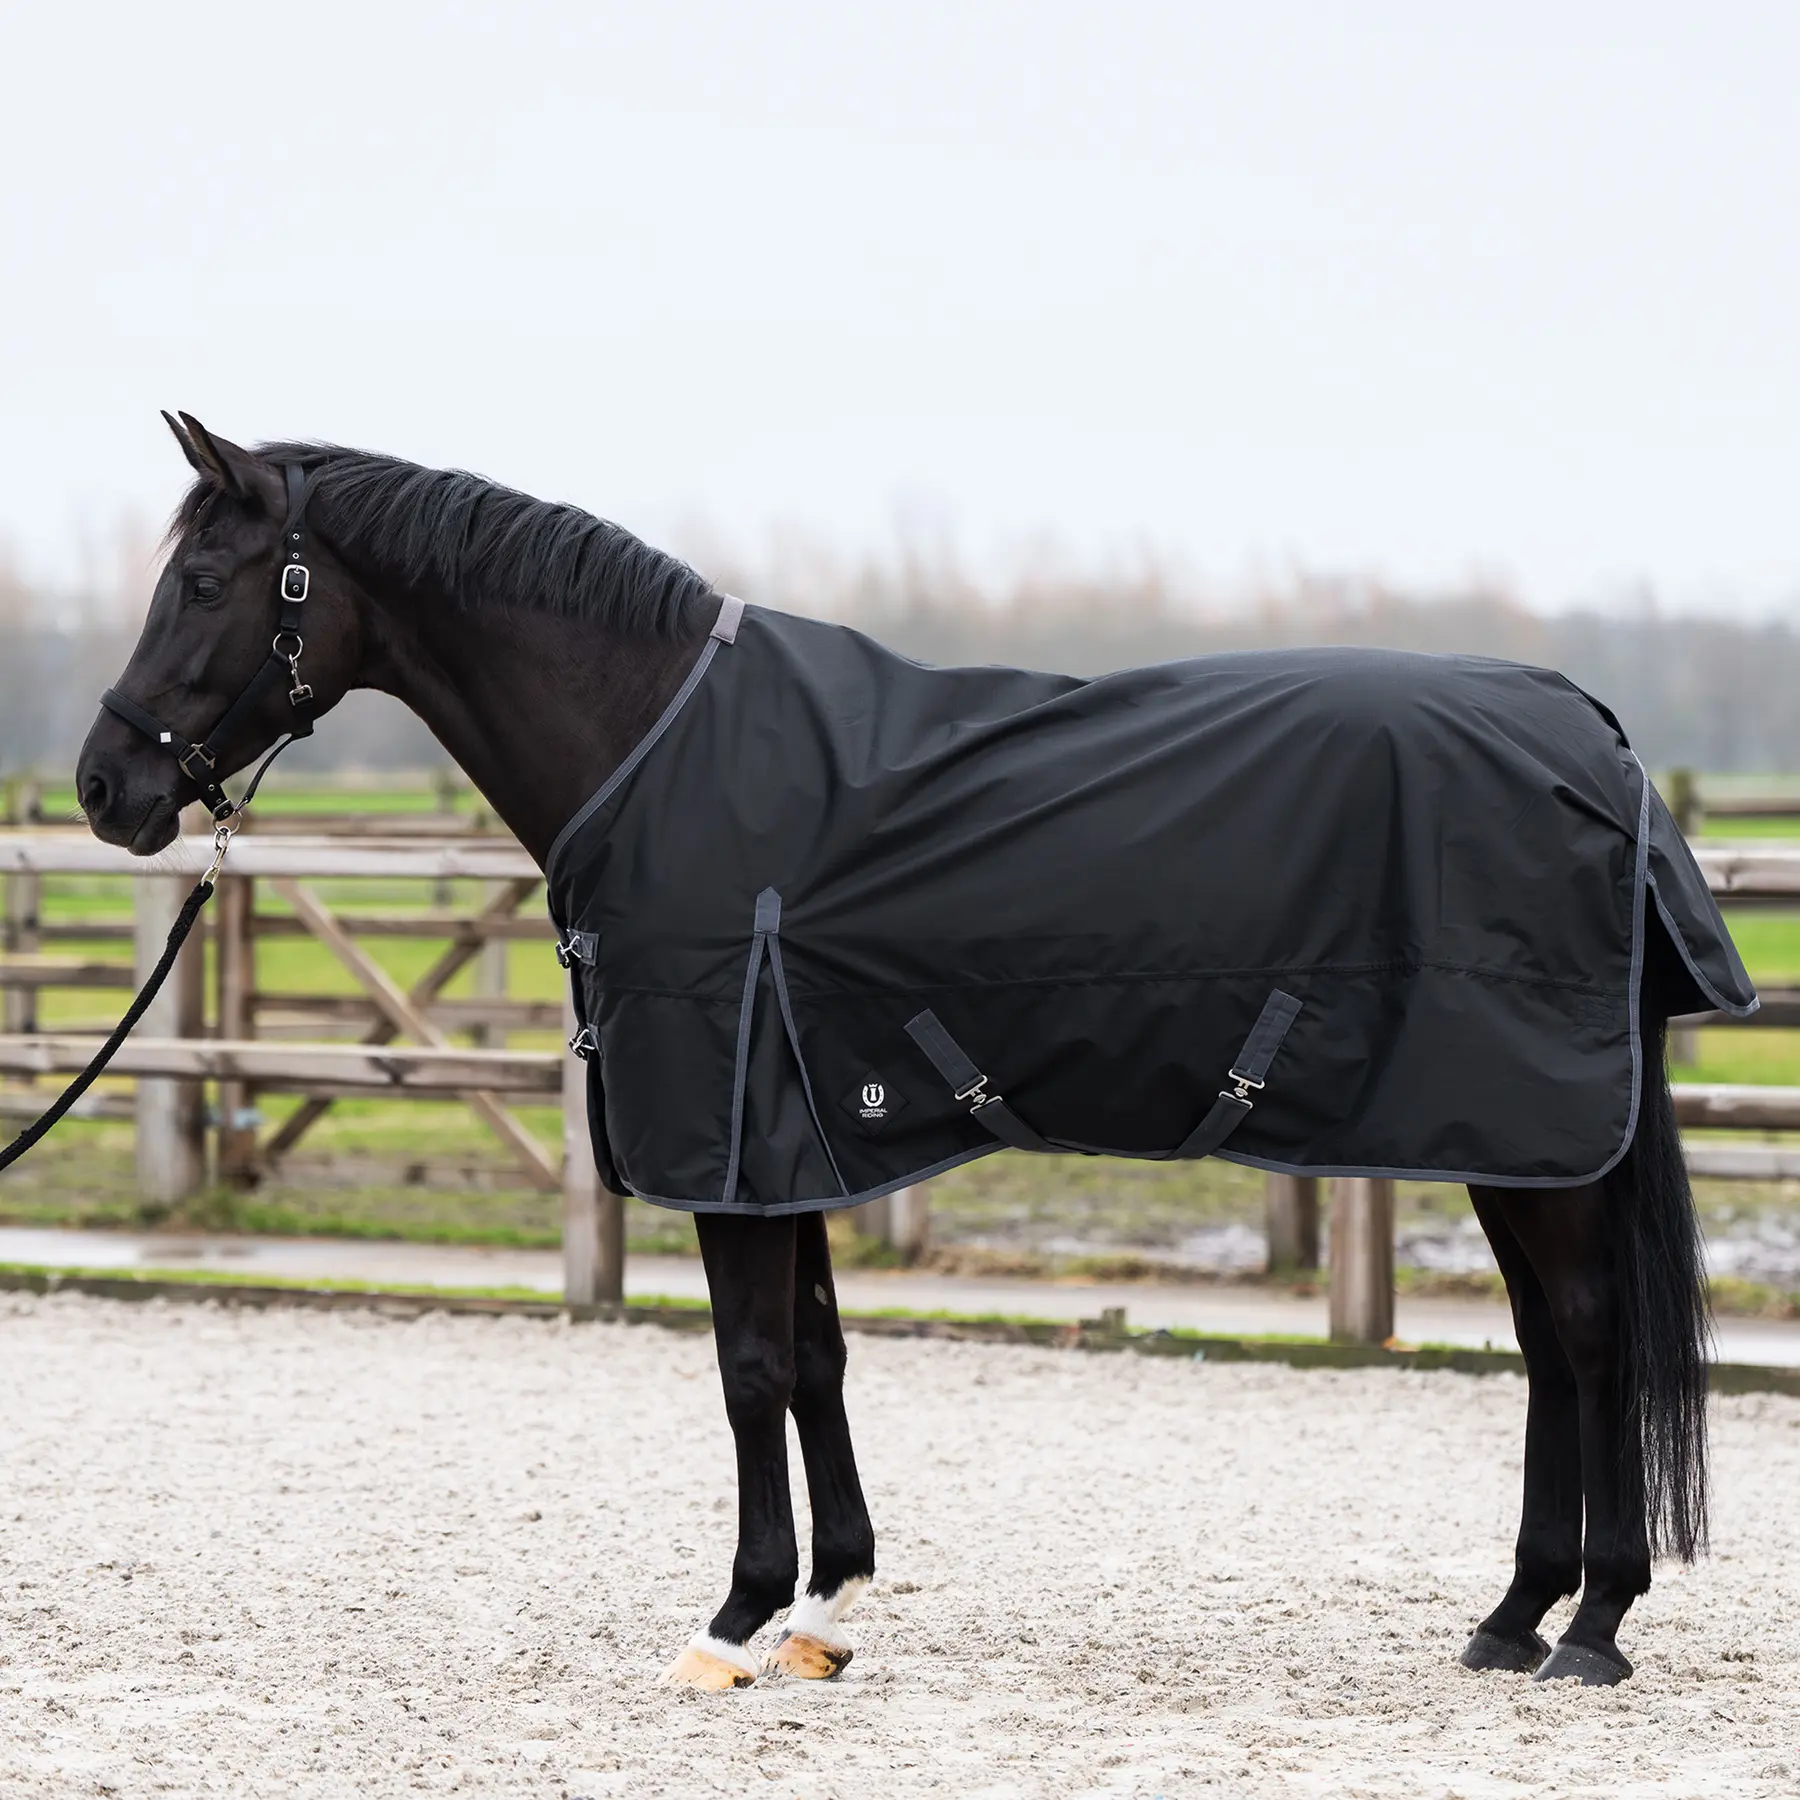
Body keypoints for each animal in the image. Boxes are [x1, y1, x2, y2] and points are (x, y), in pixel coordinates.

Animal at [74, 413, 1724, 1692]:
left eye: (206, 581)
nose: (104, 787)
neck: (657, 745)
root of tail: (1588, 732)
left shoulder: (734, 1138)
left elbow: (747, 1367)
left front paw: (735, 1622)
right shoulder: (789, 1132)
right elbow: (816, 1355)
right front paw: (826, 1606)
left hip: (1522, 1129)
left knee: (1589, 1337)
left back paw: (1592, 1626)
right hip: (1505, 1141)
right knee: (1551, 1345)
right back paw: (1514, 1617)